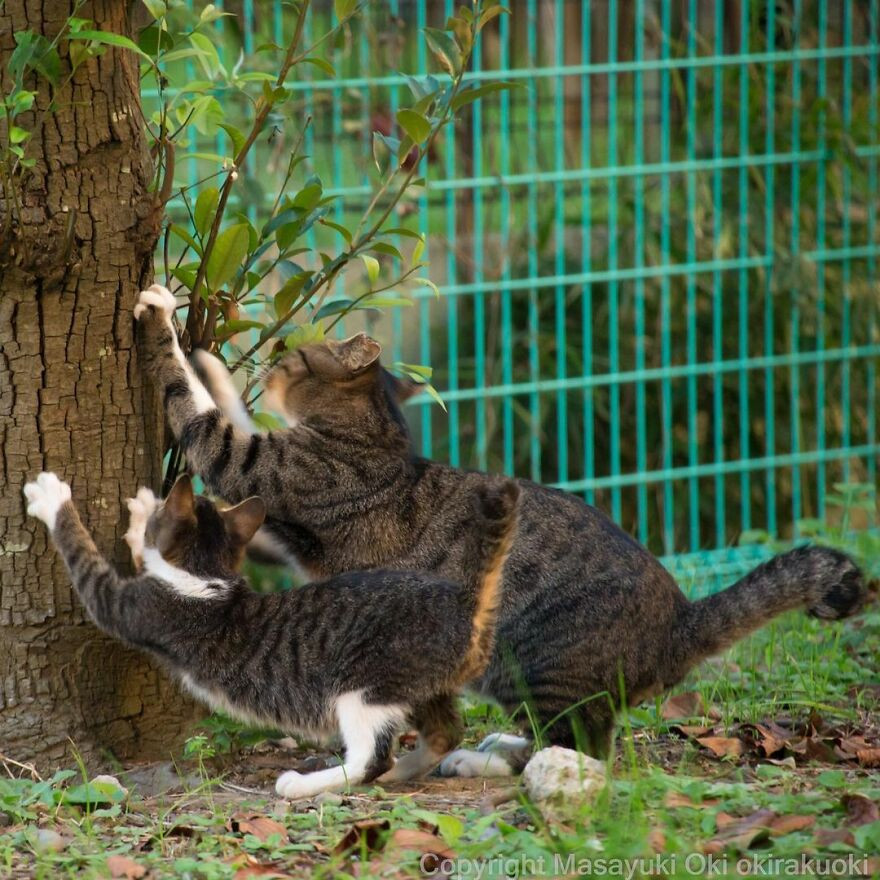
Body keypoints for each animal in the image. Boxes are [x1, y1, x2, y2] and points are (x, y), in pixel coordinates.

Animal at [24, 470, 520, 800]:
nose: (159, 499)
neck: (207, 577)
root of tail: (464, 600)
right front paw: (142, 508)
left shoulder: (134, 607)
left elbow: (87, 559)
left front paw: (52, 498)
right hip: (418, 682)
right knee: (442, 733)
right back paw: (401, 773)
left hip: (364, 683)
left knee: (371, 757)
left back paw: (303, 784)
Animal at [134, 286, 864, 772]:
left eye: (292, 353)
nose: (271, 357)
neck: (375, 437)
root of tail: (680, 621)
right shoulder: (281, 523)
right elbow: (230, 416)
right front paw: (213, 361)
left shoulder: (262, 471)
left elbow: (205, 415)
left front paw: (173, 330)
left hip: (528, 660)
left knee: (585, 745)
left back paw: (501, 764)